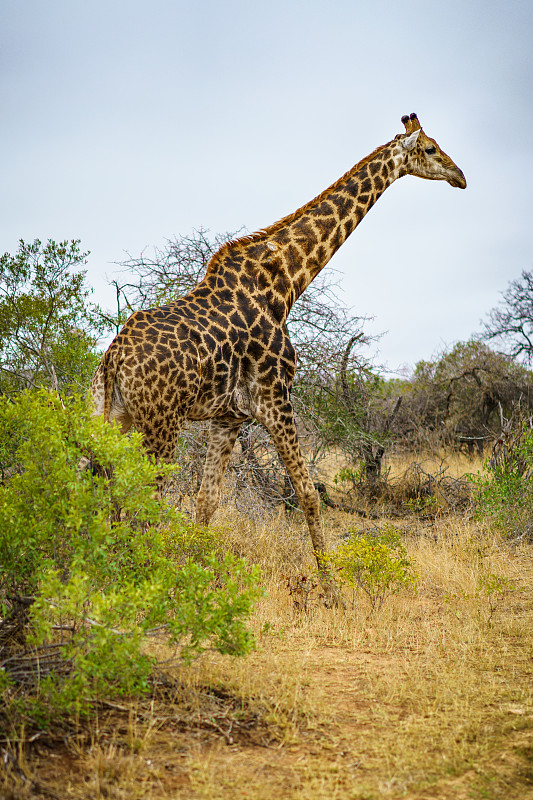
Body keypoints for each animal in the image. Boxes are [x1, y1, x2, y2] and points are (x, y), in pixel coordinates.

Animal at [91, 114, 466, 608]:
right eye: (430, 149)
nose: (461, 177)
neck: (285, 283)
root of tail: (113, 357)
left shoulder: (228, 417)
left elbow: (206, 501)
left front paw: (196, 578)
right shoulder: (275, 397)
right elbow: (308, 492)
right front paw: (332, 592)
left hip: (113, 416)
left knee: (102, 488)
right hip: (160, 422)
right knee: (140, 496)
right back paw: (136, 582)